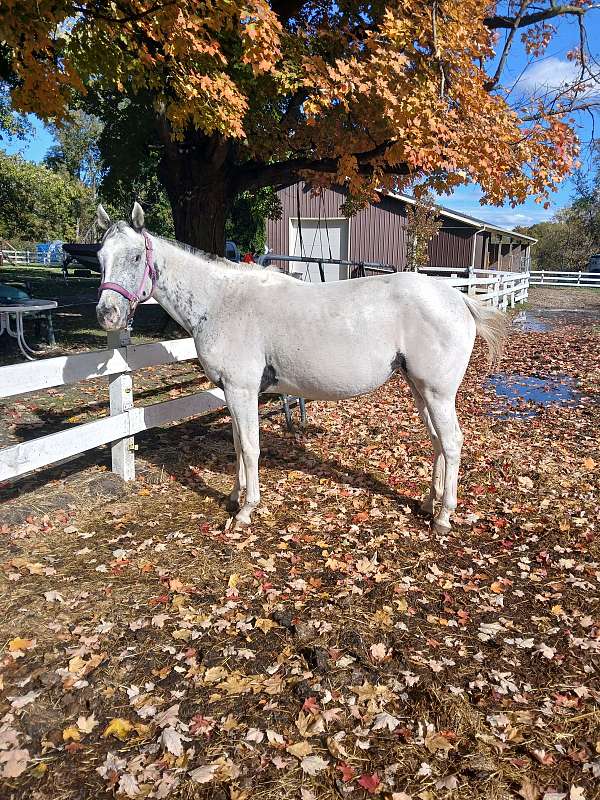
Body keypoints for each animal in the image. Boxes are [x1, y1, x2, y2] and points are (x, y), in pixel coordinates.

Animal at [95, 203, 506, 536]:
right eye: (100, 256)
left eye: (136, 257)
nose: (107, 314)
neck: (222, 301)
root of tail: (458, 299)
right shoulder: (232, 392)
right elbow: (236, 444)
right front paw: (233, 497)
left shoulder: (242, 390)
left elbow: (250, 447)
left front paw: (245, 511)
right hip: (420, 390)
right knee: (437, 441)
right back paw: (427, 503)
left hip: (438, 392)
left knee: (451, 442)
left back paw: (444, 517)